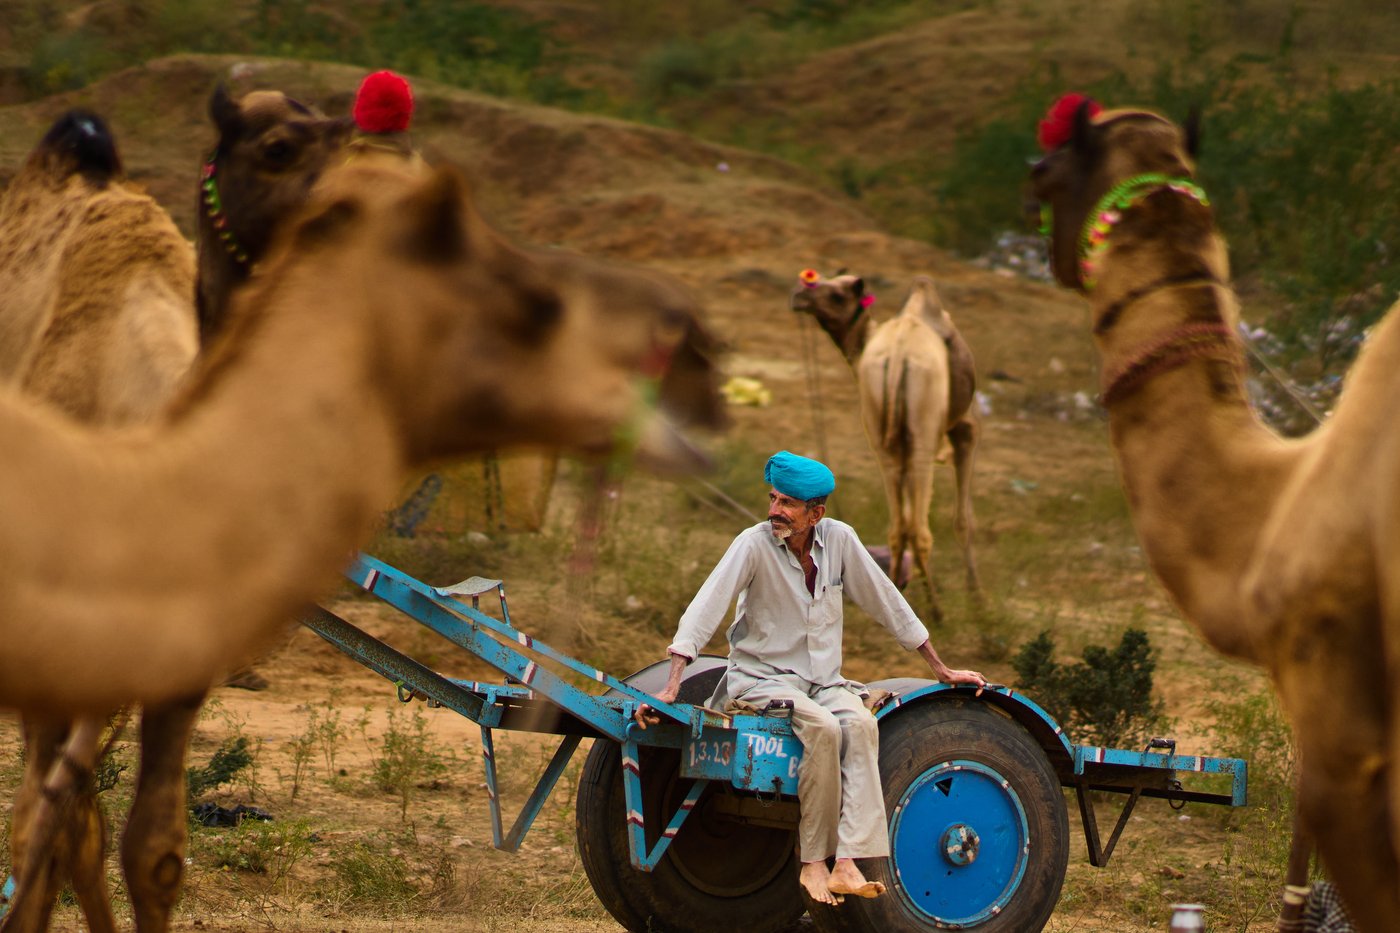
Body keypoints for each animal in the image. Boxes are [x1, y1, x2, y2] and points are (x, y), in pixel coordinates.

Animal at [790, 271, 981, 621]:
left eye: (837, 293)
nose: (799, 295)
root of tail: (899, 353)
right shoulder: (966, 429)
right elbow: (964, 521)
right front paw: (977, 599)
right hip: (922, 436)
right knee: (918, 527)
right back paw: (936, 610)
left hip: (884, 441)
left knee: (898, 527)